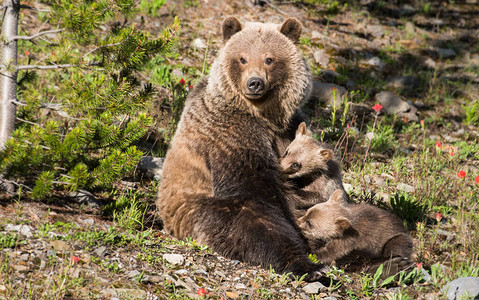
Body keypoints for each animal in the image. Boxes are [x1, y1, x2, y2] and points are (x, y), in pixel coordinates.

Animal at [158, 16, 326, 280]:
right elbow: (257, 188)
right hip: (198, 210)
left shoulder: (289, 129)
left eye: (269, 59)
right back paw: (306, 264)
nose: (254, 82)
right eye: (242, 58)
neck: (264, 117)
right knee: (252, 226)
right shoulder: (230, 134)